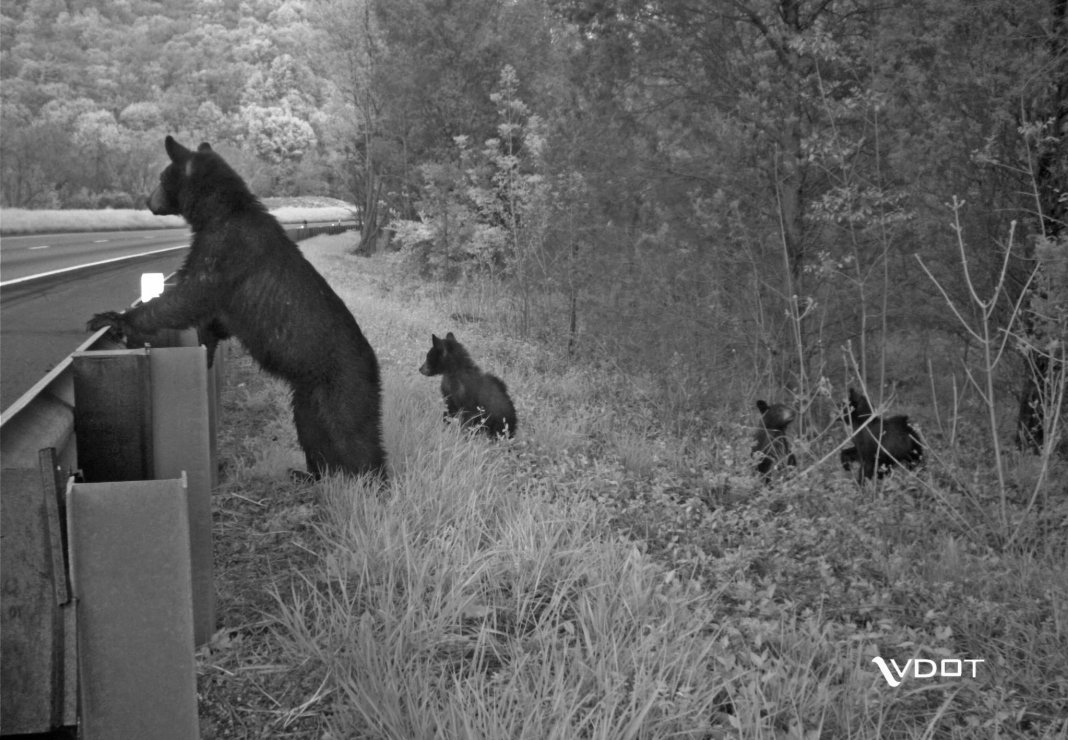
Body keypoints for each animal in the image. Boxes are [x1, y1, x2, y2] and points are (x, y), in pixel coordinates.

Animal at [88, 135, 384, 476]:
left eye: (161, 178)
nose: (149, 201)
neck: (220, 212)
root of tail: (374, 363)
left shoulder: (225, 250)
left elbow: (187, 296)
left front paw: (114, 318)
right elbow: (213, 320)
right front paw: (206, 349)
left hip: (343, 384)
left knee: (352, 434)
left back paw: (372, 479)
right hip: (308, 393)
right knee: (311, 429)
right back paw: (310, 474)